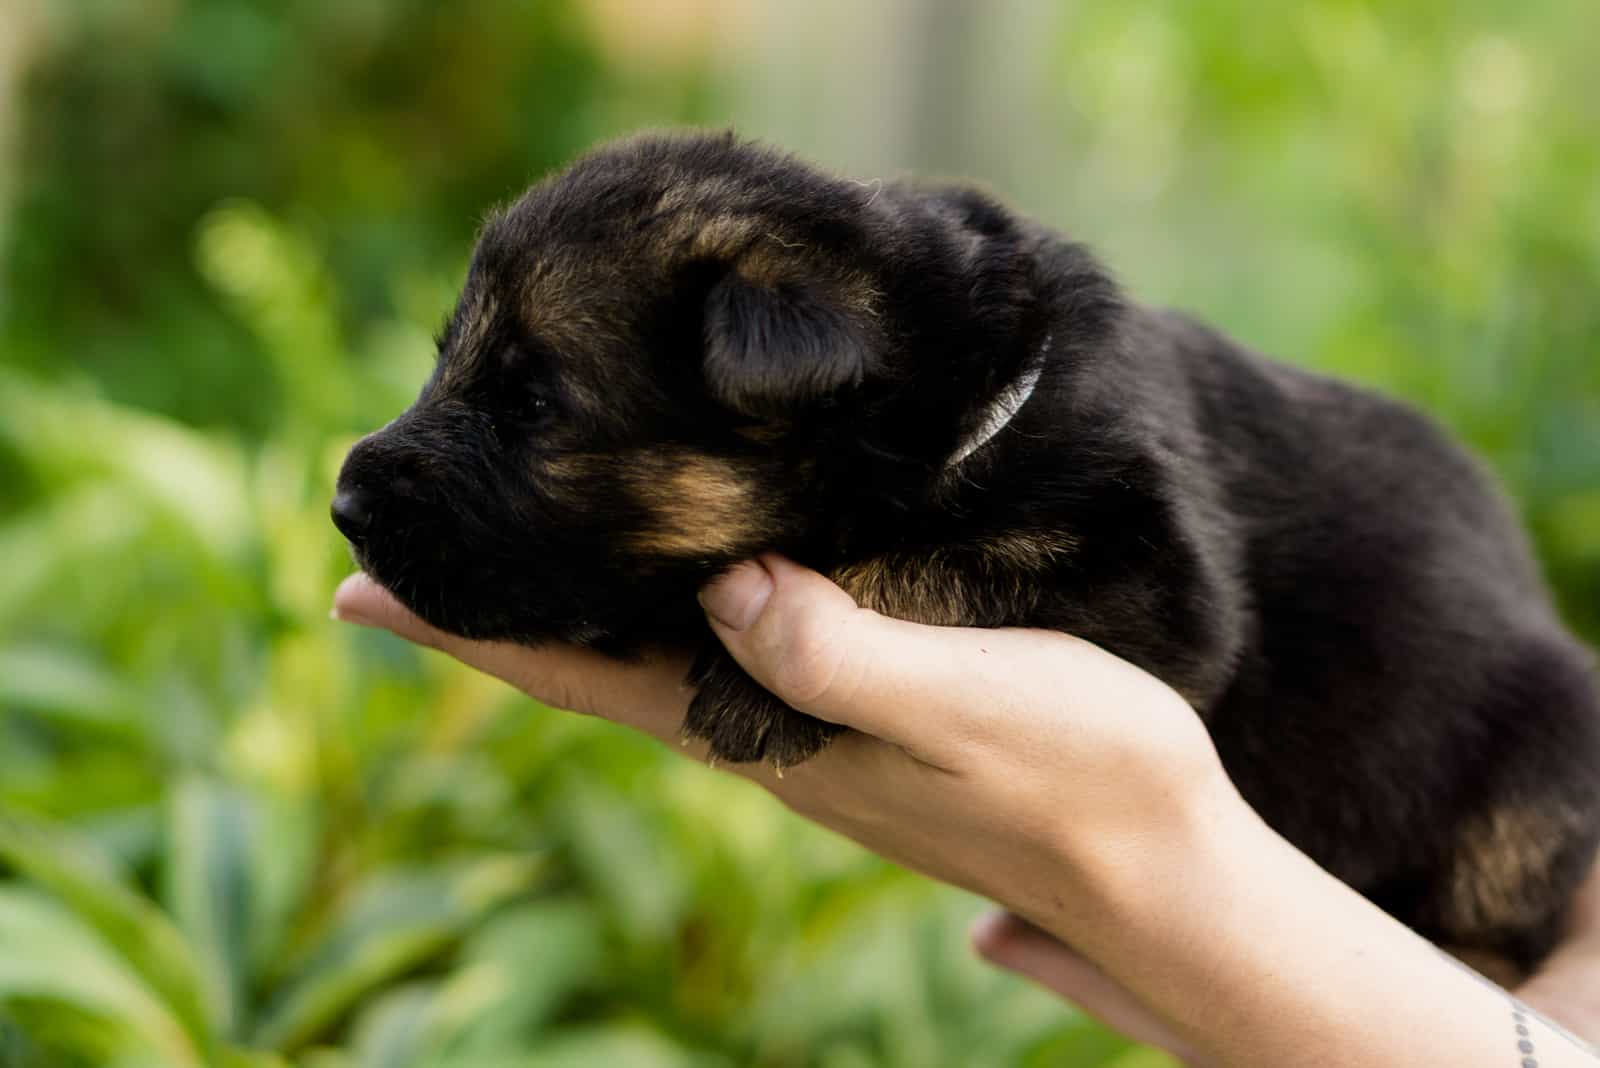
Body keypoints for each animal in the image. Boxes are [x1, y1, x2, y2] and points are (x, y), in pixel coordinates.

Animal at [334, 131, 1600, 965]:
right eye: (450, 363)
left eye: (531, 403)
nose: (342, 500)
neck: (975, 387)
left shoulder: (1166, 581)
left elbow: (945, 559)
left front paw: (759, 689)